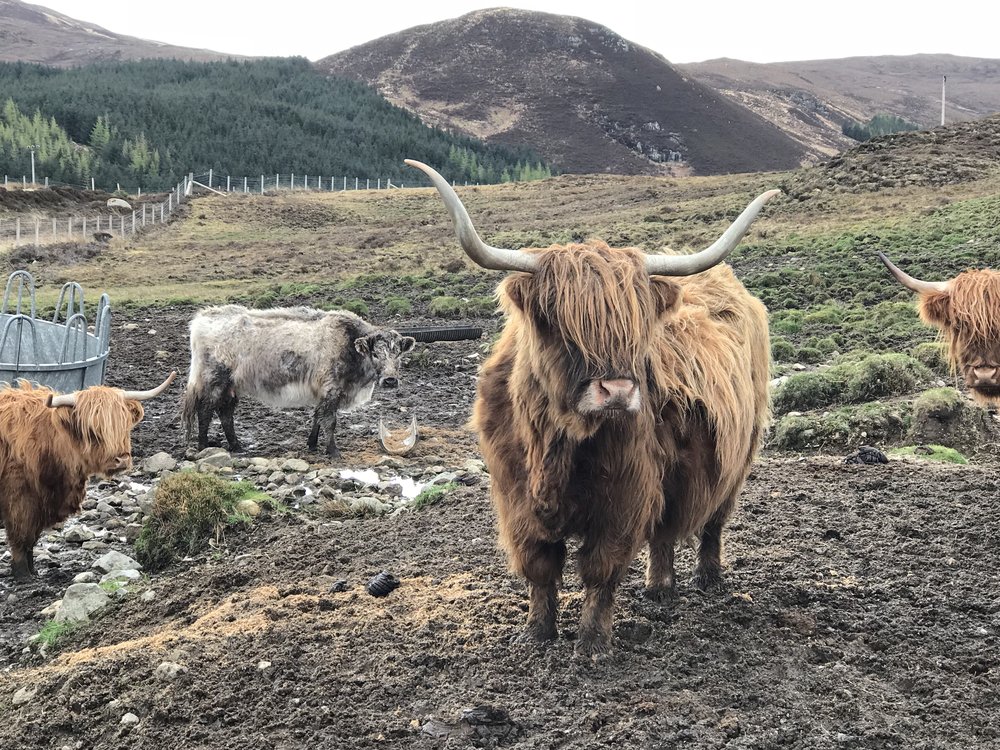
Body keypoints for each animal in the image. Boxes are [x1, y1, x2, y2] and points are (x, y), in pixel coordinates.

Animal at [0, 374, 175, 580]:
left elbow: (31, 539)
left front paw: (33, 571)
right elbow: (22, 537)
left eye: (124, 426)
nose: (121, 459)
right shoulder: (19, 499)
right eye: (93, 431)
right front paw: (23, 575)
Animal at [402, 162, 776, 656]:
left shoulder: (625, 493)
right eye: (558, 322)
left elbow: (601, 568)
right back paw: (659, 587)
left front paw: (592, 643)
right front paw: (536, 632)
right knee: (665, 530)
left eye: (638, 328)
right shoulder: (516, 499)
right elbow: (540, 567)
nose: (617, 391)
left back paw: (707, 578)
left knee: (713, 520)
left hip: (739, 454)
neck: (556, 443)